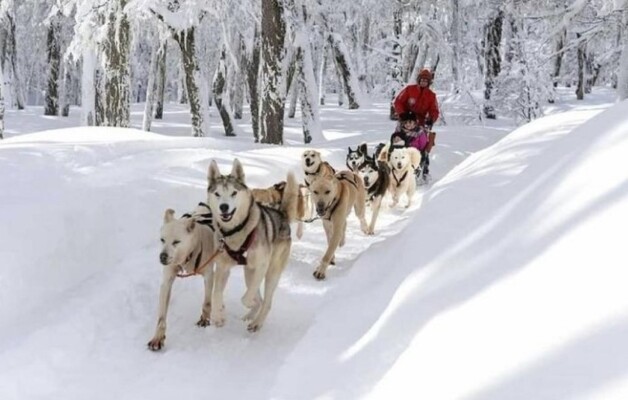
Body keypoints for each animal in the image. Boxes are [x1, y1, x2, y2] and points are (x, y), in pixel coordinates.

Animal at [148, 205, 217, 352]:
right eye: (162, 240)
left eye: (176, 242)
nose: (162, 256)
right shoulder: (167, 281)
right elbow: (161, 316)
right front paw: (158, 337)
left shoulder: (209, 276)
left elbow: (207, 302)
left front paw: (205, 318)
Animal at [204, 159, 296, 332]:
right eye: (217, 194)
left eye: (234, 193)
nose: (224, 207)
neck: (236, 231)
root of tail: (282, 215)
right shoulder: (222, 268)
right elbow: (216, 294)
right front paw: (218, 316)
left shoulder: (261, 265)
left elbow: (248, 296)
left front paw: (246, 302)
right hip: (248, 271)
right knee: (259, 298)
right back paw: (250, 316)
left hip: (271, 272)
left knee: (266, 301)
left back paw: (256, 323)